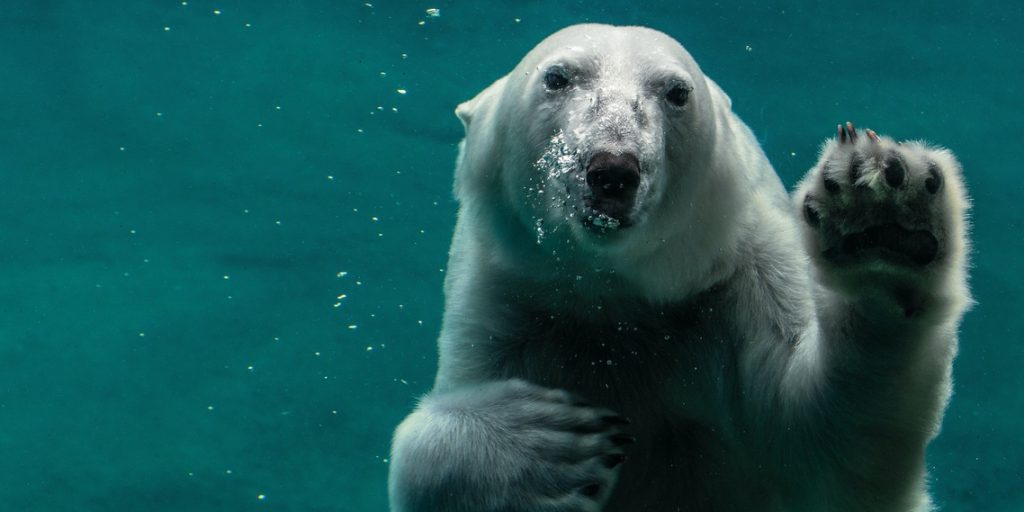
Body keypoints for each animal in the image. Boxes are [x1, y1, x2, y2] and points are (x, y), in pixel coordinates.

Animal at [387, 24, 970, 512]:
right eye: (557, 77)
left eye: (676, 92)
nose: (613, 169)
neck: (617, 296)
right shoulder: (510, 297)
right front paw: (547, 448)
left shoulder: (739, 278)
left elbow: (825, 441)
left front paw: (881, 219)